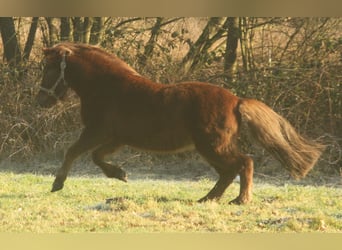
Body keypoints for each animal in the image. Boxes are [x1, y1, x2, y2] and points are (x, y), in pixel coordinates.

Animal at [36, 42, 324, 203]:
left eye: (49, 69)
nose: (41, 100)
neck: (107, 87)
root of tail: (236, 100)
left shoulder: (96, 131)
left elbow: (73, 151)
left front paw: (57, 184)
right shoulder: (115, 138)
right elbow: (96, 157)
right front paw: (120, 174)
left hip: (212, 145)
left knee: (243, 163)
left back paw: (240, 200)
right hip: (208, 148)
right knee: (228, 172)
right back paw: (207, 199)